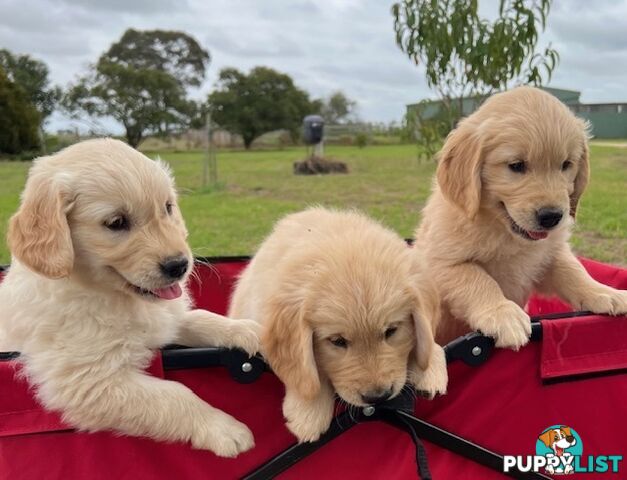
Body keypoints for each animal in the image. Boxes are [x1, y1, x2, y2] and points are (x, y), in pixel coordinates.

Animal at [0, 139, 262, 458]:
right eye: (116, 222)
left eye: (168, 208)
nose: (179, 266)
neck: (111, 296)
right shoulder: (89, 381)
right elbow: (174, 395)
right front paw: (223, 428)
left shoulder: (165, 320)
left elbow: (200, 318)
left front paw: (246, 329)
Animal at [229, 208, 446, 444]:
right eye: (337, 341)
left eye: (391, 331)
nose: (378, 397)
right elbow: (307, 371)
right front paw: (309, 411)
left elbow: (429, 340)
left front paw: (430, 368)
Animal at [418, 87, 627, 348]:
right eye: (516, 165)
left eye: (566, 164)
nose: (552, 217)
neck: (504, 231)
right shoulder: (440, 264)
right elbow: (478, 279)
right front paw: (502, 313)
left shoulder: (549, 256)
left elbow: (574, 270)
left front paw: (604, 292)